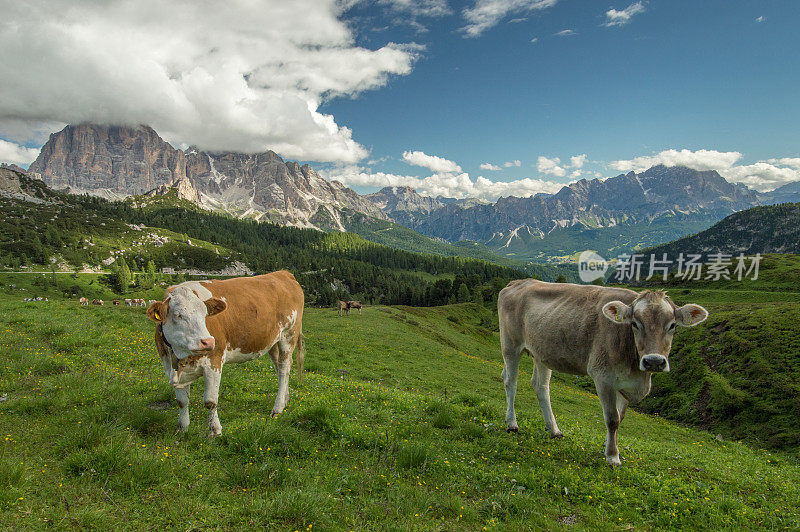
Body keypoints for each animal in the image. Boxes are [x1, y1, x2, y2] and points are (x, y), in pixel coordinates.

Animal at [145, 270, 304, 436]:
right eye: (178, 315)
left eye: (205, 314)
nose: (208, 342)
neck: (180, 355)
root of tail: (283, 273)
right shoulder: (170, 366)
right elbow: (182, 401)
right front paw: (182, 429)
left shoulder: (214, 361)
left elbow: (210, 401)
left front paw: (215, 430)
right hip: (272, 342)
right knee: (281, 369)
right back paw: (285, 400)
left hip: (289, 335)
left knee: (284, 369)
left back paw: (277, 408)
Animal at [500, 280, 708, 468]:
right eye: (635, 323)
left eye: (672, 325)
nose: (654, 361)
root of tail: (518, 282)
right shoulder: (603, 377)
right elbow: (612, 419)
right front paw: (612, 456)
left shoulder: (625, 384)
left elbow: (620, 418)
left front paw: (609, 445)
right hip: (510, 345)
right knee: (511, 382)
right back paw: (512, 423)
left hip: (542, 352)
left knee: (541, 387)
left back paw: (554, 430)